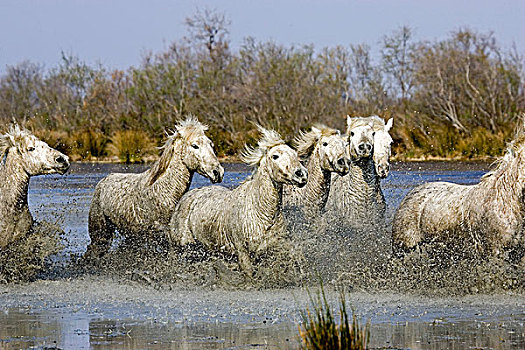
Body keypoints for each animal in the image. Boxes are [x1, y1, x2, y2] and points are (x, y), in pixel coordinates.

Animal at [85, 116, 223, 262]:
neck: (164, 191)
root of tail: (103, 181)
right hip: (100, 233)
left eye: (211, 144)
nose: (218, 172)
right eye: (195, 145)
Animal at [168, 126, 308, 276]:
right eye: (275, 156)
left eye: (295, 154)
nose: (301, 175)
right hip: (183, 248)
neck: (262, 213)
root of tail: (185, 198)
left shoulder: (272, 250)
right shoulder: (243, 254)